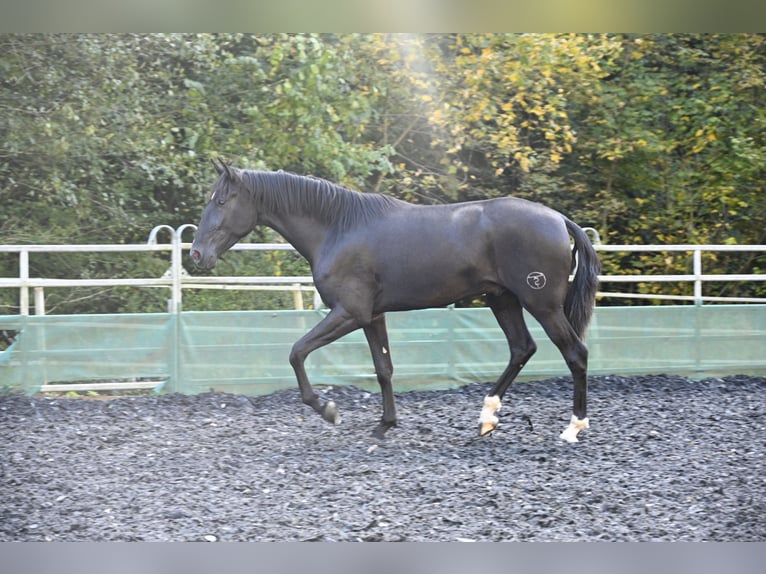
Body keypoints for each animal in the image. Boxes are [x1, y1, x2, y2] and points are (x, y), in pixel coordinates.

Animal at [190, 160, 600, 444]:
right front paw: (385, 425)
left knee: (575, 353)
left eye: (221, 200)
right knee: (521, 348)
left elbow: (297, 352)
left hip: (541, 304)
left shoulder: (349, 313)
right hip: (503, 300)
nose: (196, 255)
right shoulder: (373, 316)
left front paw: (328, 410)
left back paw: (573, 428)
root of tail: (559, 220)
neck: (339, 228)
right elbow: (383, 369)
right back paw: (487, 418)